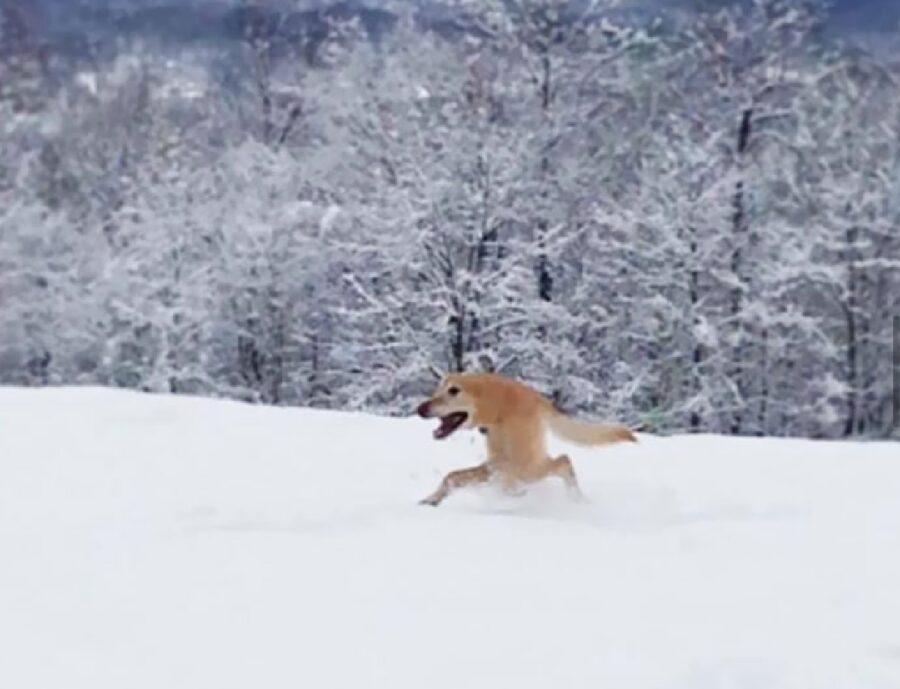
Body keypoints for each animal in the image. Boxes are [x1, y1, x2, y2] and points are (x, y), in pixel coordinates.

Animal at [416, 374, 636, 502]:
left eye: (454, 390)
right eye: (437, 389)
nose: (420, 408)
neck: (498, 408)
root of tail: (538, 397)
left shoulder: (508, 467)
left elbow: (505, 486)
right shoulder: (495, 465)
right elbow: (452, 477)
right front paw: (431, 499)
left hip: (529, 467)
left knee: (564, 460)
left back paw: (576, 499)